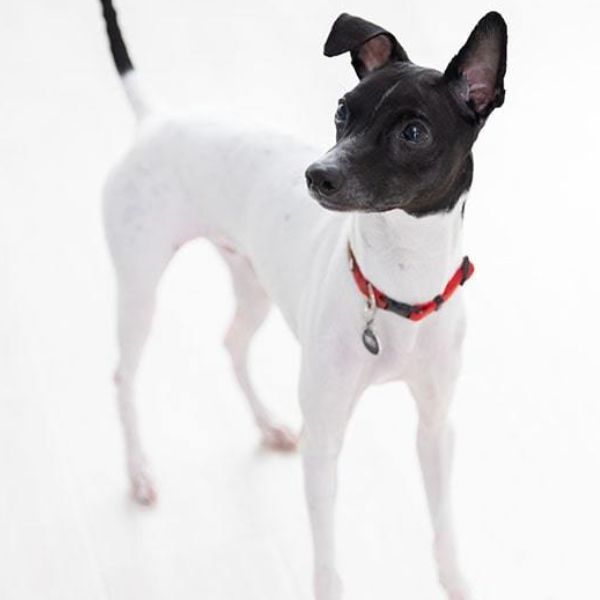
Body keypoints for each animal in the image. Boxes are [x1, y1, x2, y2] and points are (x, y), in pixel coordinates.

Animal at [99, 2, 507, 599]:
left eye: (413, 132)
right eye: (342, 111)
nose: (318, 174)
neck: (396, 289)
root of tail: (156, 119)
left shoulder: (435, 428)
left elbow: (443, 527)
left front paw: (457, 582)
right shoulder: (325, 440)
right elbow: (327, 557)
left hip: (252, 283)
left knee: (232, 342)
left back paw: (267, 423)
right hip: (140, 286)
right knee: (125, 377)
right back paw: (139, 472)